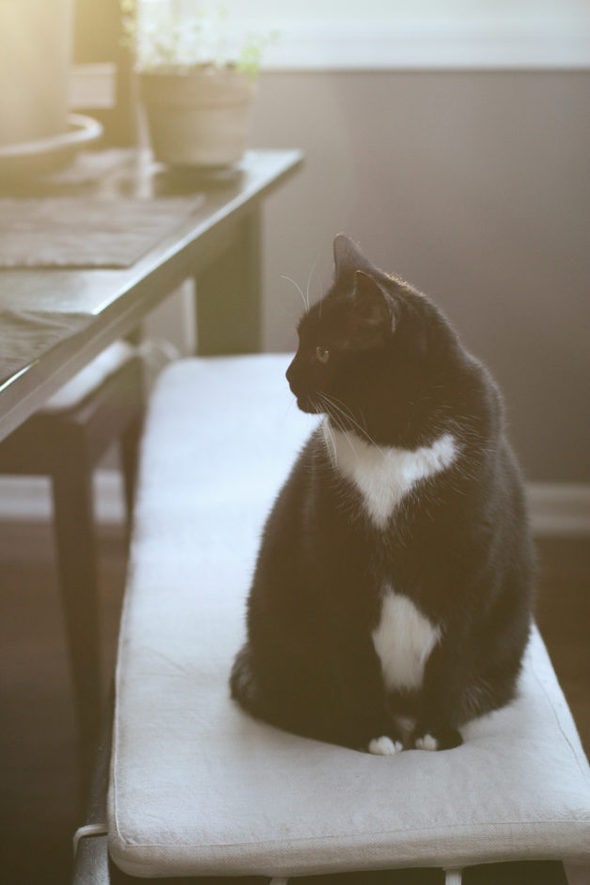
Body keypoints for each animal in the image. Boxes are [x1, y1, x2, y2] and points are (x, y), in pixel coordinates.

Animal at [231, 233, 536, 752]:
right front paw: (376, 733)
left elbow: (451, 659)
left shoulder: (471, 572)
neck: (396, 441)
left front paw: (435, 733)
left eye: (323, 352)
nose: (288, 376)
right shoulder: (336, 568)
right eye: (300, 342)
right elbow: (356, 662)